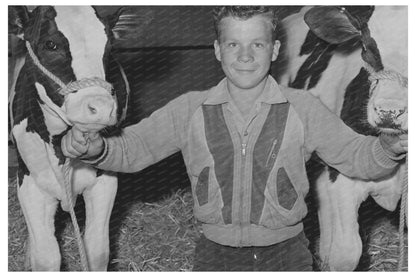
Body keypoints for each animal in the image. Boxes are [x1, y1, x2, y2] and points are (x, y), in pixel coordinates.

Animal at [8, 5, 135, 270]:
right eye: (50, 44)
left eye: (109, 46)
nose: (101, 107)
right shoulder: (29, 183)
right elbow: (47, 257)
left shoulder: (105, 181)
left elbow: (97, 250)